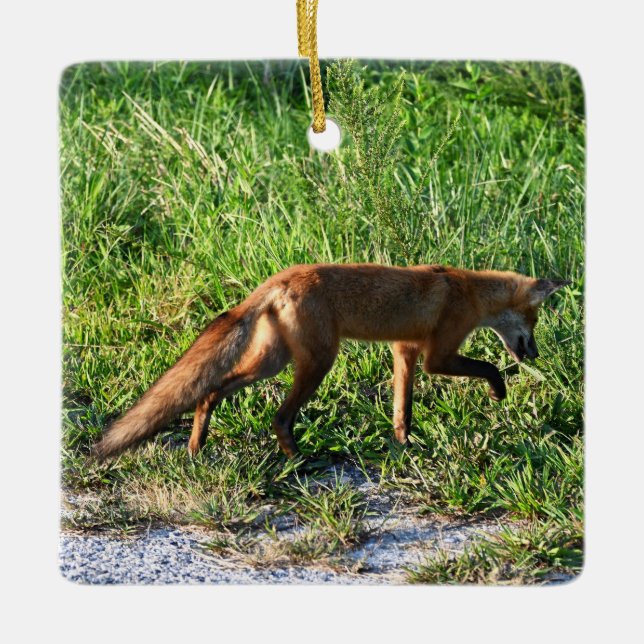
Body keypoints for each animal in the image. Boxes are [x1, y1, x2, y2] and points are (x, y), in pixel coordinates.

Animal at [92, 263, 570, 460]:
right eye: (534, 320)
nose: (535, 353)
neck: (467, 289)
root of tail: (280, 278)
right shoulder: (438, 355)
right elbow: (487, 366)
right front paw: (498, 389)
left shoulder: (405, 351)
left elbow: (403, 410)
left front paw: (404, 446)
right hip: (318, 361)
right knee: (280, 417)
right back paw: (299, 461)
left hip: (271, 361)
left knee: (209, 390)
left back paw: (196, 446)